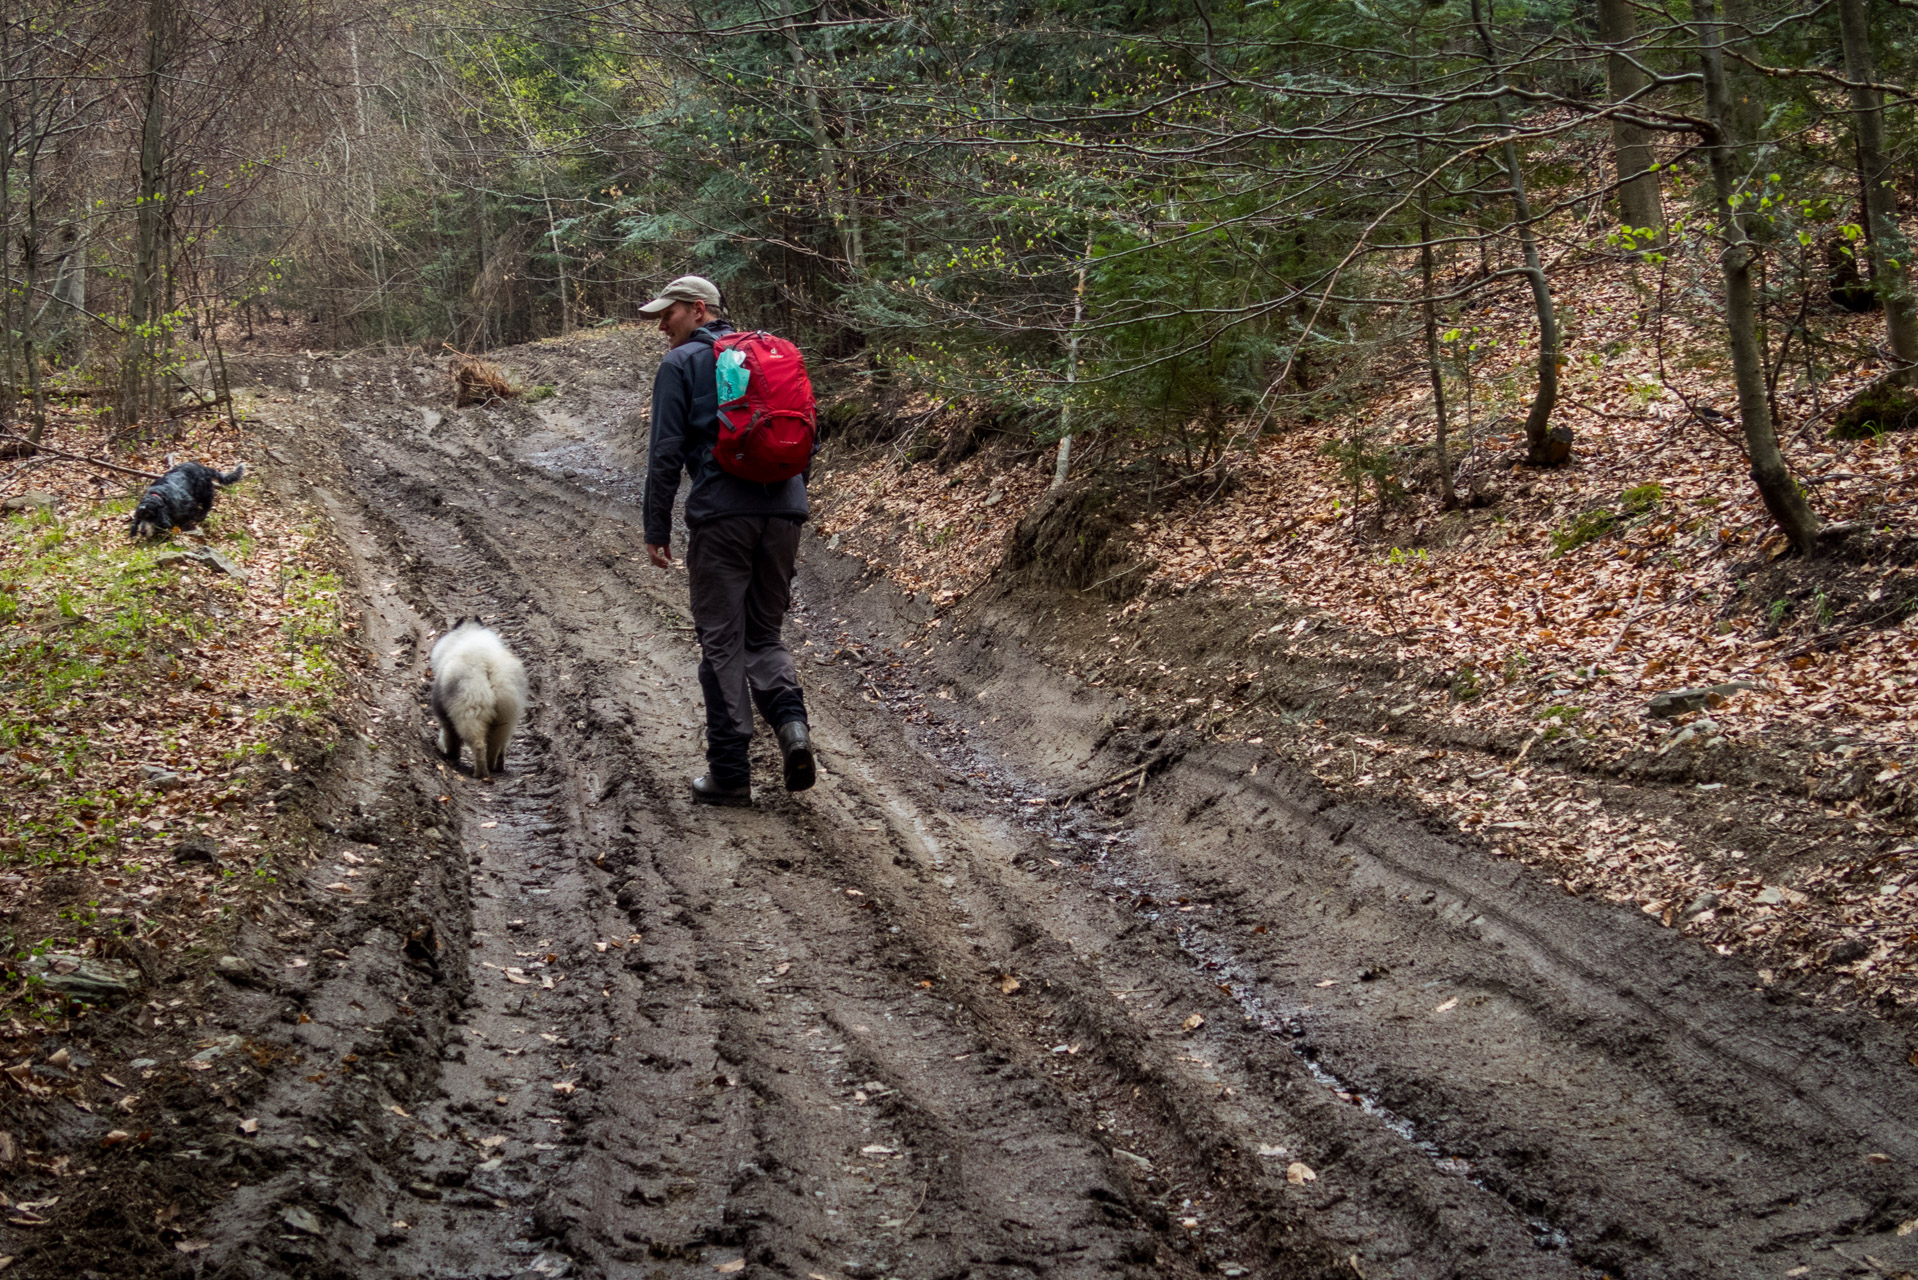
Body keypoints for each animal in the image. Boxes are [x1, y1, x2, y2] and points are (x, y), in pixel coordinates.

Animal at [429, 621, 529, 782]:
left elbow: (450, 737)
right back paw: (494, 767)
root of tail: (487, 664)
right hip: (505, 718)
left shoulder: (445, 718)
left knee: (479, 745)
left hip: (470, 714)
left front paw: (450, 755)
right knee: (497, 746)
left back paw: (480, 773)